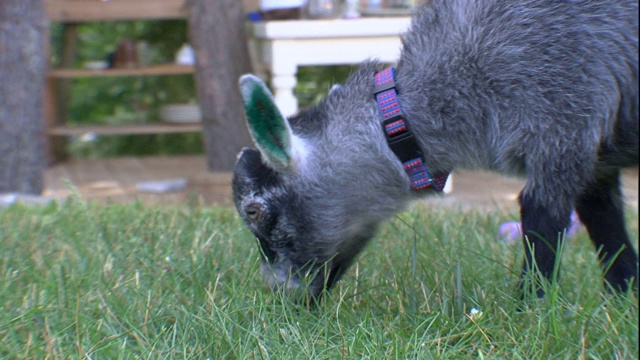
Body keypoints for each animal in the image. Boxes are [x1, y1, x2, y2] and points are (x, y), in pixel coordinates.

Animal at [232, 0, 636, 298]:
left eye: (253, 211)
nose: (277, 292)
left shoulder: (562, 130)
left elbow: (543, 225)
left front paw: (530, 310)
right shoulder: (594, 162)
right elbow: (609, 230)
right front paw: (622, 301)